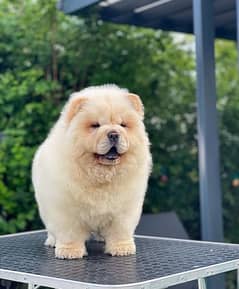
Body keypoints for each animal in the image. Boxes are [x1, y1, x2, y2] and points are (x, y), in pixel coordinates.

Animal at [31, 84, 151, 258]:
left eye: (123, 125)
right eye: (95, 125)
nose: (114, 134)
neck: (102, 174)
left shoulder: (124, 209)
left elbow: (120, 230)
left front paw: (122, 248)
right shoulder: (66, 209)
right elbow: (70, 232)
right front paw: (70, 251)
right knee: (52, 230)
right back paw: (53, 242)